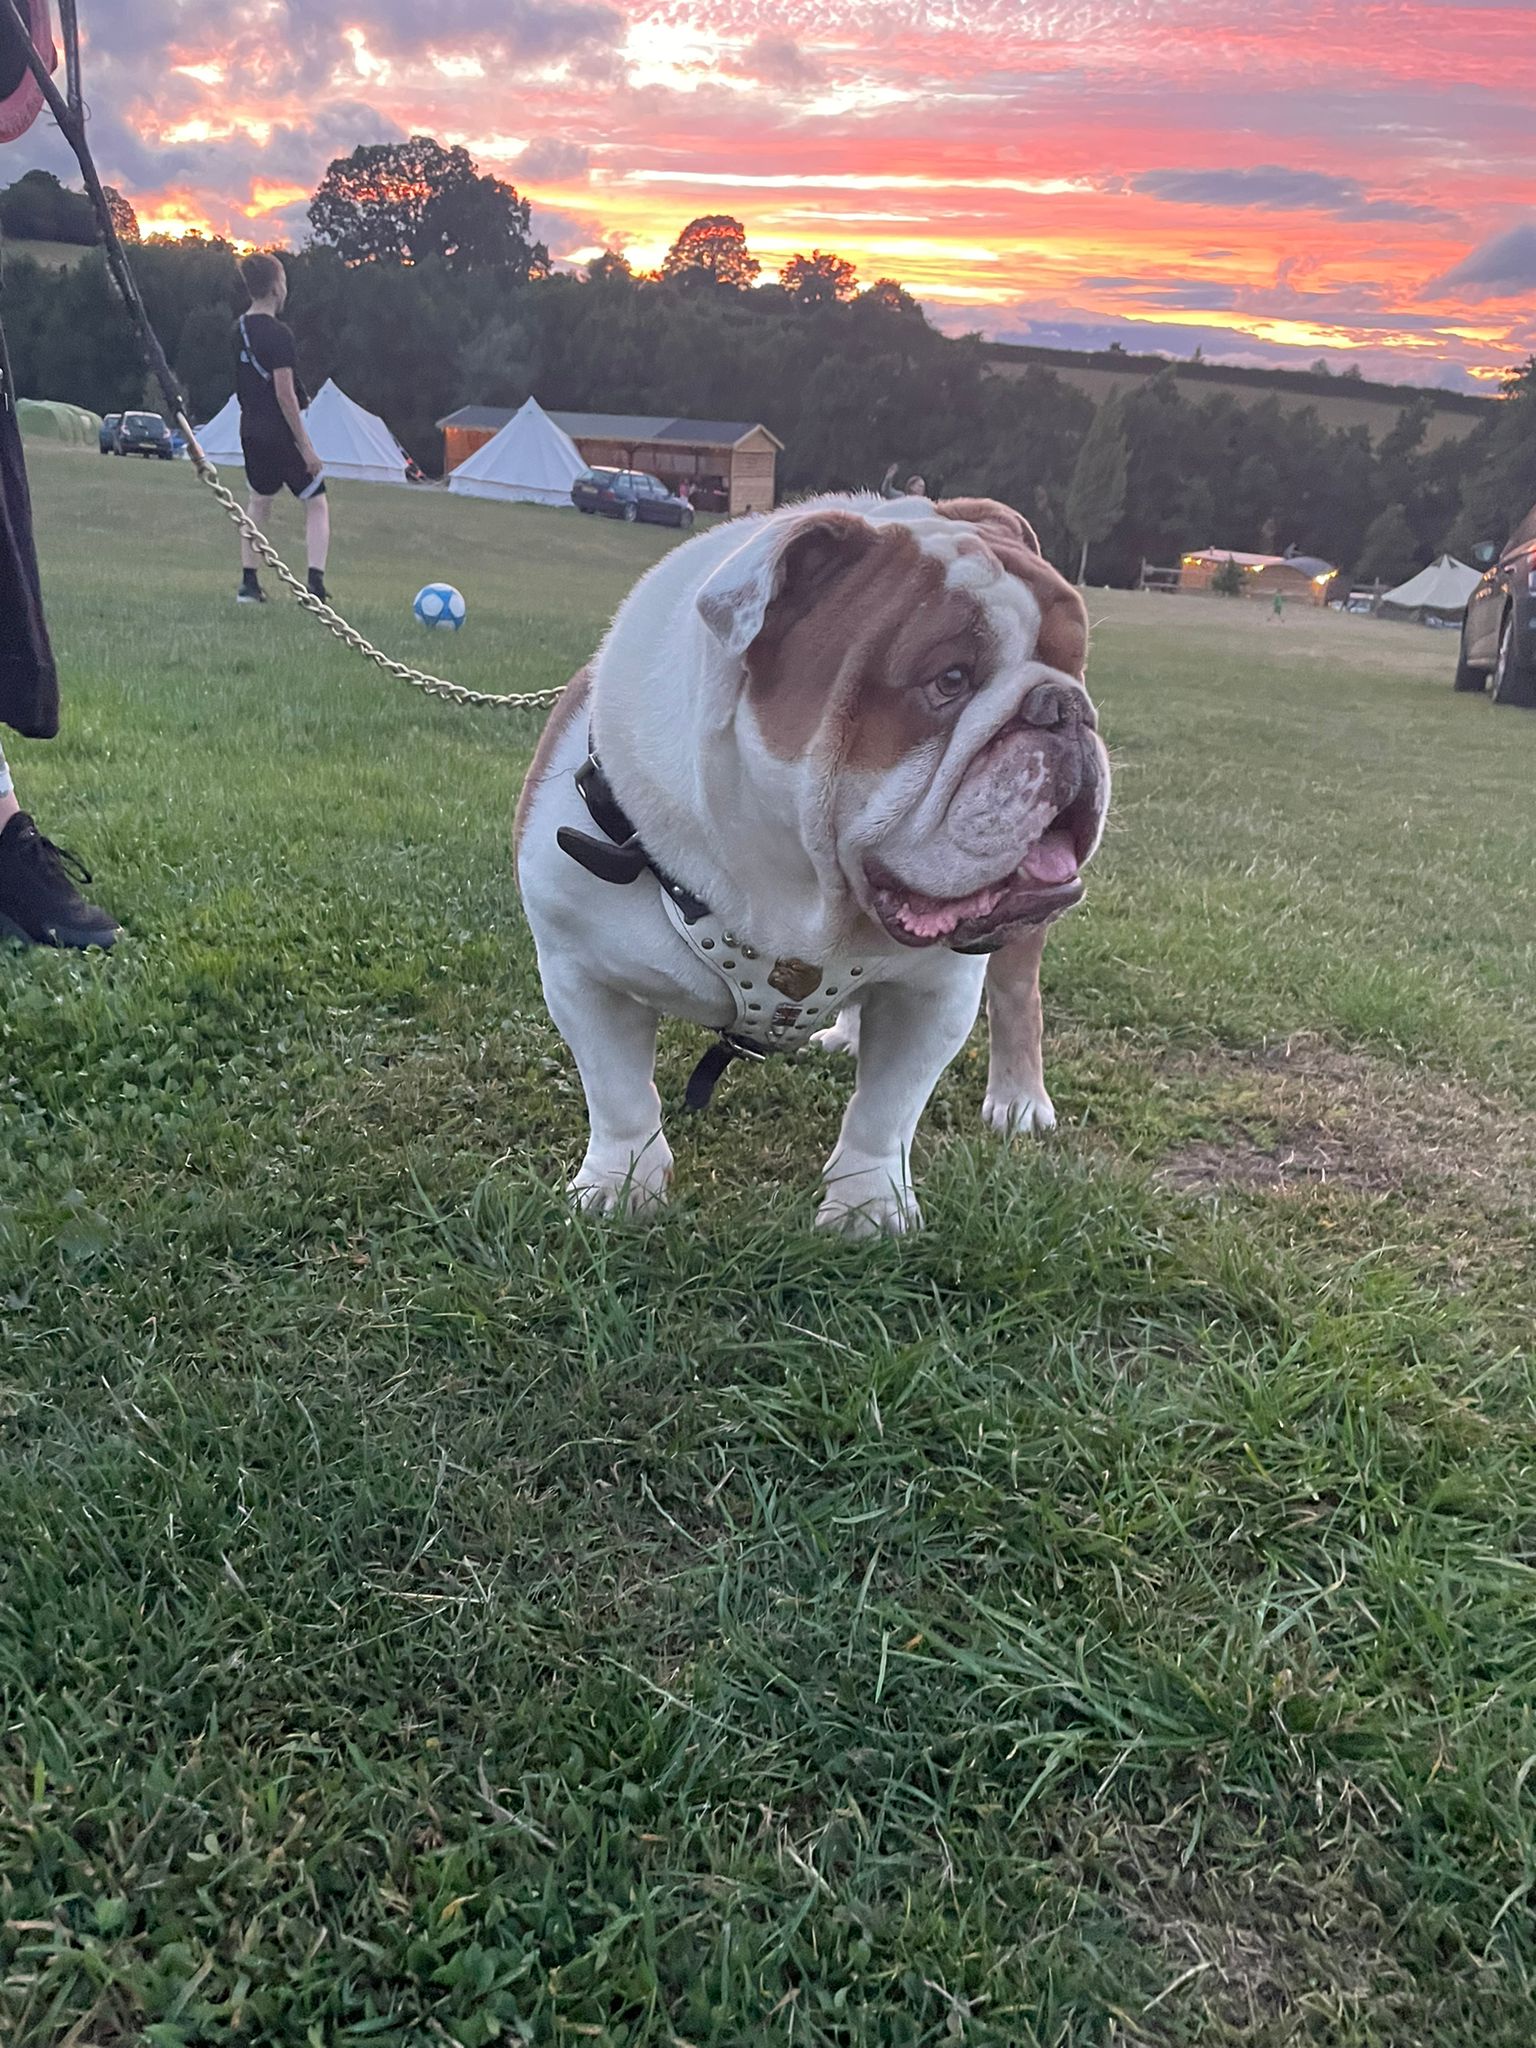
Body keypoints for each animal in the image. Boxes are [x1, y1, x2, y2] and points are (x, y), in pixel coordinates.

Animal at [515, 493, 1110, 1234]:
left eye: (1075, 660)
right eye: (948, 680)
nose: (1066, 705)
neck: (798, 895)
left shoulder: (934, 994)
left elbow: (885, 1110)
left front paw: (867, 1208)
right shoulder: (581, 974)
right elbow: (619, 1093)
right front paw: (620, 1189)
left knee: (1016, 1001)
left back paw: (1019, 1100)